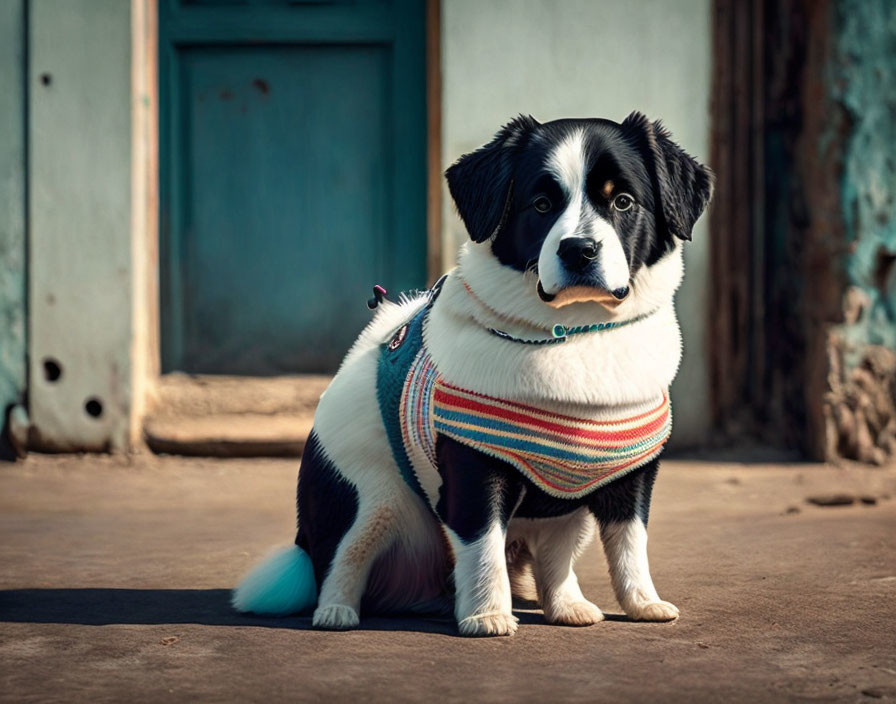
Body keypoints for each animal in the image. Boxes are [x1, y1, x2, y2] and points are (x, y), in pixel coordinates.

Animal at [233, 111, 712, 640]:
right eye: (541, 205)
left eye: (623, 201)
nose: (579, 249)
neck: (575, 334)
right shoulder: (475, 470)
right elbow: (483, 546)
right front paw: (487, 615)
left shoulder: (630, 476)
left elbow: (630, 545)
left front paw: (643, 603)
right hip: (368, 496)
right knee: (343, 557)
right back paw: (336, 611)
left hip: (565, 513)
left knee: (555, 557)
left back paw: (567, 606)